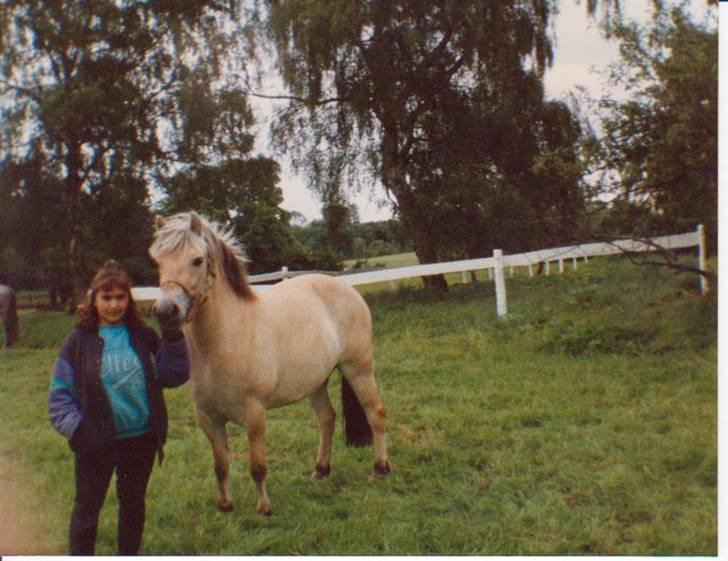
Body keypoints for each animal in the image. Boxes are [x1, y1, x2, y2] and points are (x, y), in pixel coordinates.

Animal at [145, 212, 390, 516]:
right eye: (157, 261)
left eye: (197, 260)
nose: (166, 311)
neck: (222, 340)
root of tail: (345, 286)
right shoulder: (208, 418)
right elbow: (220, 465)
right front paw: (225, 505)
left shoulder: (254, 414)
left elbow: (257, 467)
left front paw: (264, 508)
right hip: (316, 381)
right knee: (326, 419)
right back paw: (320, 471)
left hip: (358, 368)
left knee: (375, 413)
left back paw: (379, 469)